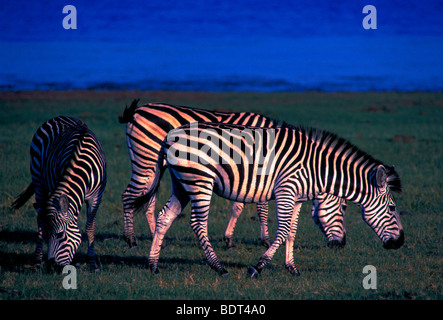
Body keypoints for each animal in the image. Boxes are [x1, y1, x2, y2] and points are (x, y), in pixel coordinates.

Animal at [11, 116, 106, 268]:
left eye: (60, 234)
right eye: (49, 235)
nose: (51, 265)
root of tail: (59, 117)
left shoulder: (97, 197)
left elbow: (90, 228)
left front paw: (93, 263)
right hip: (39, 181)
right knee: (40, 219)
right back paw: (37, 260)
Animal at [119, 100, 348, 250]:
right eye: (344, 208)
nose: (343, 244)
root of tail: (138, 110)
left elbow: (240, 205)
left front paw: (229, 238)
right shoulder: (258, 171)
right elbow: (260, 208)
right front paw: (263, 240)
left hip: (156, 167)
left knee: (149, 200)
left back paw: (155, 238)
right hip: (146, 161)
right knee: (129, 196)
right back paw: (131, 240)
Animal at [144, 121, 404, 276]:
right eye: (392, 208)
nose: (400, 243)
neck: (317, 169)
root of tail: (171, 134)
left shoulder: (297, 198)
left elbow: (291, 232)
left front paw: (292, 267)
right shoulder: (286, 191)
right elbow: (281, 230)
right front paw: (258, 267)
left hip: (182, 182)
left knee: (164, 217)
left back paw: (153, 265)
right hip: (200, 181)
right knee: (198, 224)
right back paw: (218, 267)